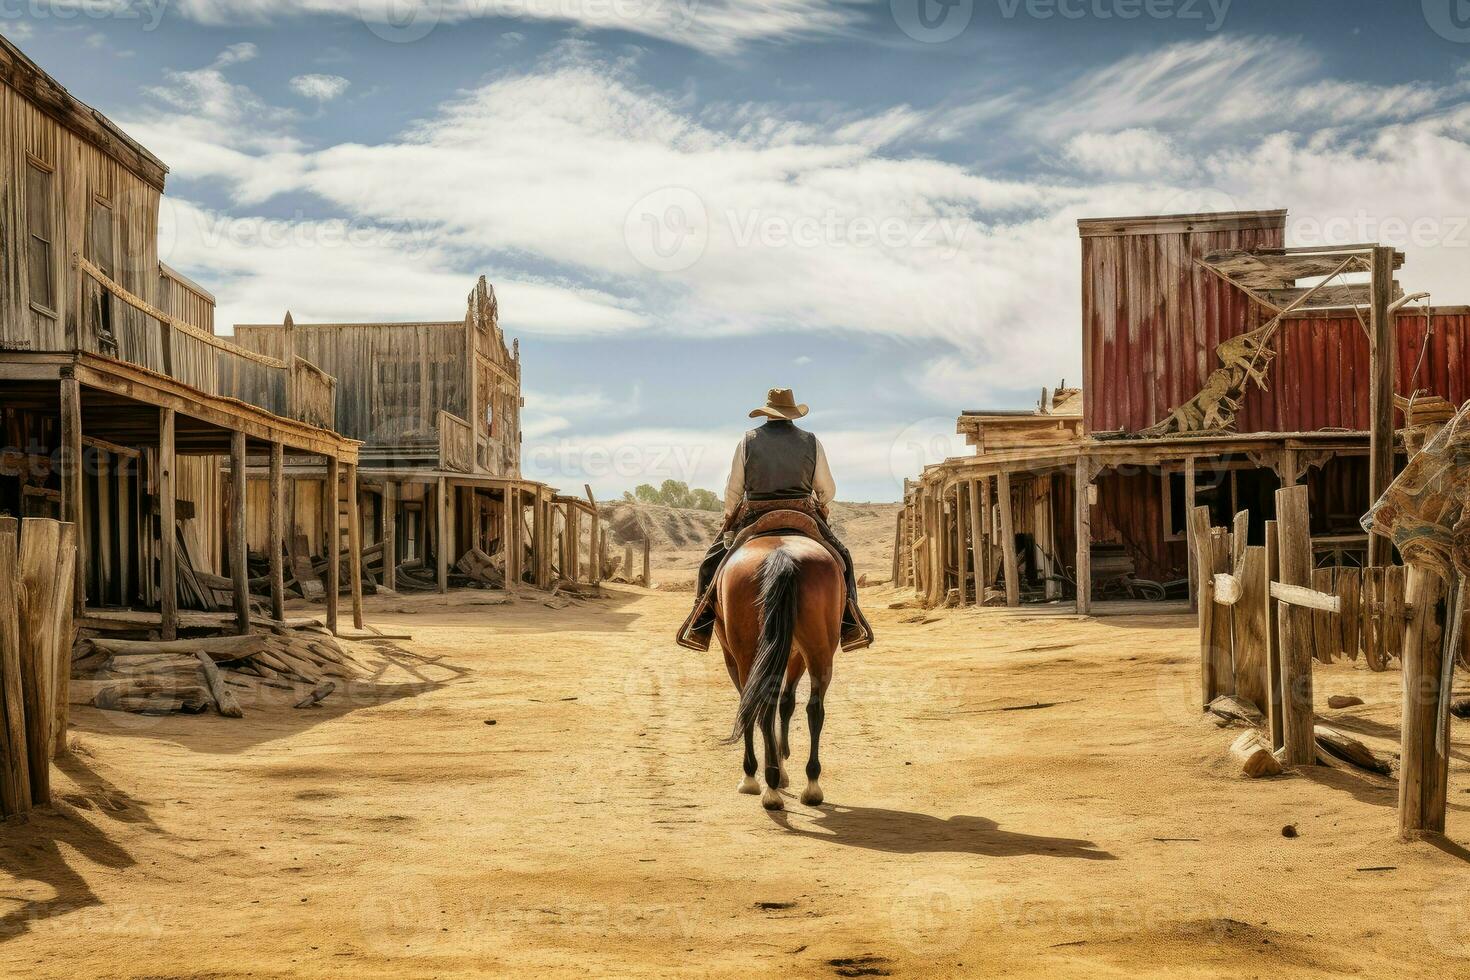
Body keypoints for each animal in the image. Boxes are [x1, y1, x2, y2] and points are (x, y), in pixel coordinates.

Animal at [714, 531, 846, 811]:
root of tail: (782, 555)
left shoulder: (732, 656)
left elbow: (758, 705)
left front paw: (761, 774)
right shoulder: (793, 654)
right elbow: (785, 703)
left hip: (746, 653)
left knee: (758, 708)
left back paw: (764, 785)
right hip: (818, 650)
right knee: (813, 708)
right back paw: (810, 787)